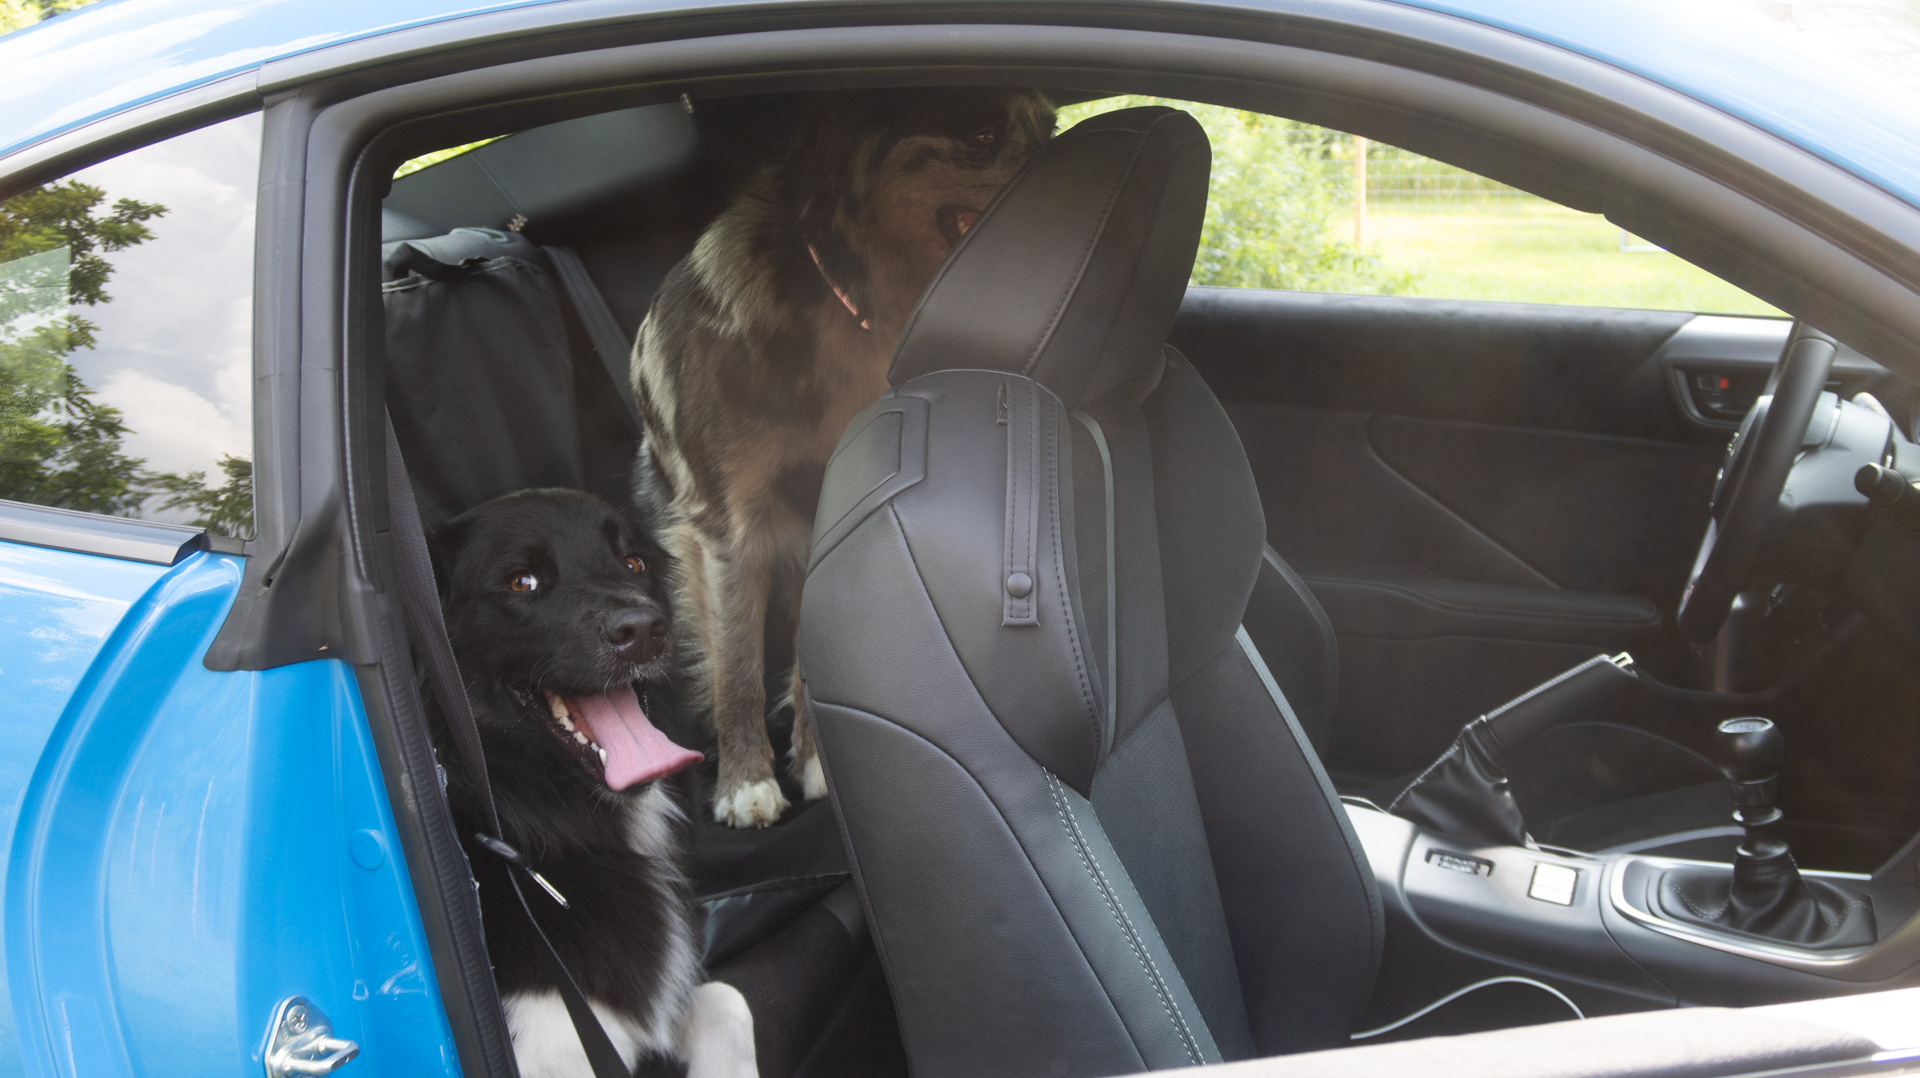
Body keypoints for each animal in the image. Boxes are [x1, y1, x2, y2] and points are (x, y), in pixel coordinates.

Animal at [630, 87, 1056, 827]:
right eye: (981, 133)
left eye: (1053, 125)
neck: (842, 300)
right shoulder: (727, 526)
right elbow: (737, 669)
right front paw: (746, 782)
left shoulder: (833, 517)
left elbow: (811, 659)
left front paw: (817, 763)